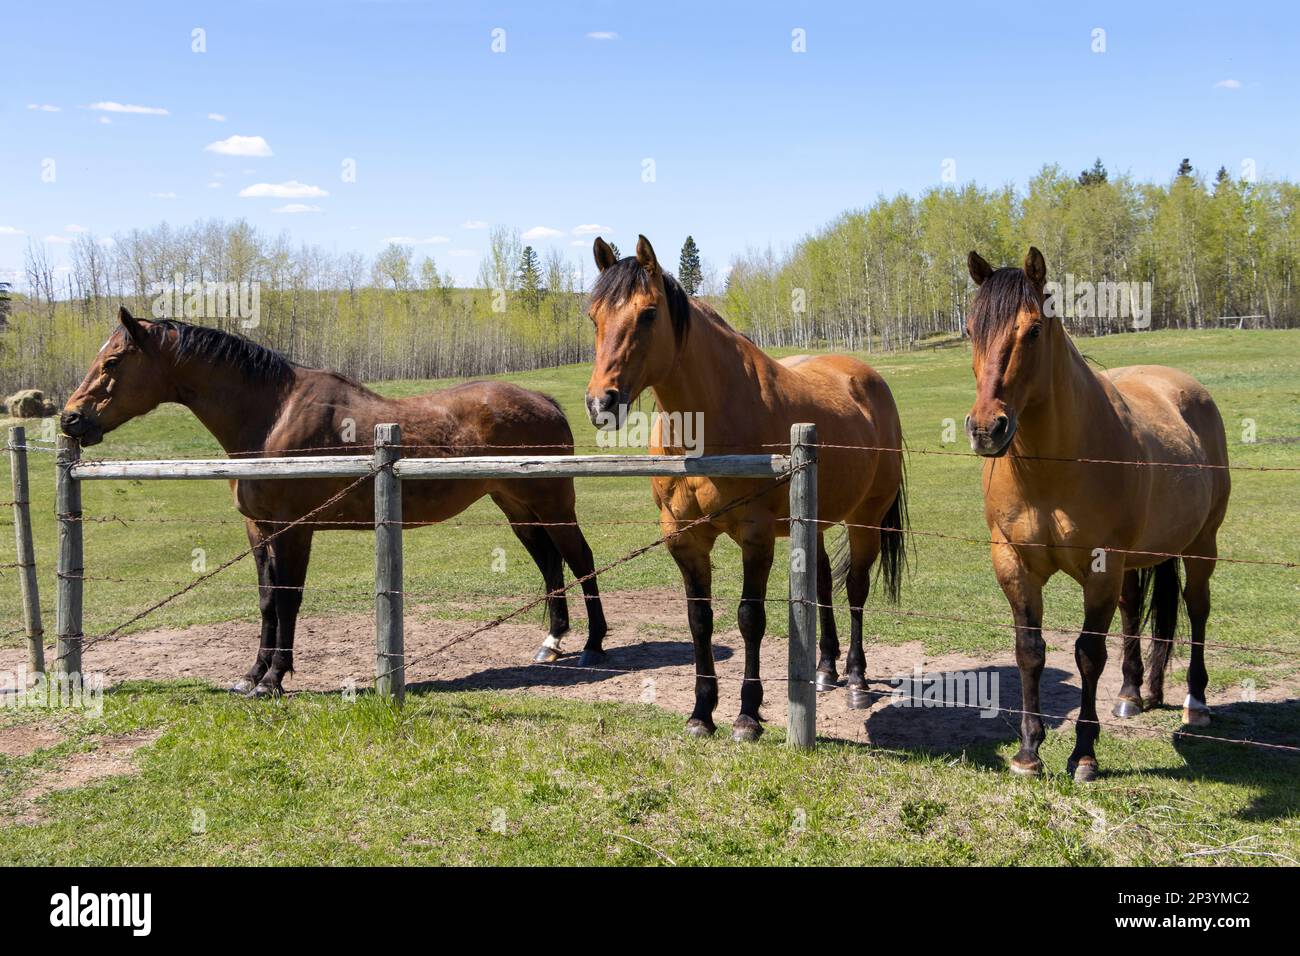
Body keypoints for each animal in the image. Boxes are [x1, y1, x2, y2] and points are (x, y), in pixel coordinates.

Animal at [61, 312, 608, 697]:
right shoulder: (259, 530)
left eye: (112, 362)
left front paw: (274, 680)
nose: (70, 419)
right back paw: (552, 643)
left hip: (551, 503)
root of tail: (543, 400)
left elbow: (288, 600)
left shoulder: (294, 530)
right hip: (516, 506)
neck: (272, 417)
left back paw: (593, 645)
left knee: (579, 558)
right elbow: (266, 600)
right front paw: (251, 675)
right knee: (550, 563)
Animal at [585, 238, 909, 738]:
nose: (601, 401)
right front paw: (701, 712)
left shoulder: (755, 537)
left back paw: (855, 679)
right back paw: (825, 670)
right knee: (822, 585)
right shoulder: (684, 538)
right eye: (593, 316)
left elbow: (749, 619)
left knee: (856, 588)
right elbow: (699, 620)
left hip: (866, 519)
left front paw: (747, 715)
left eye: (649, 313)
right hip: (813, 519)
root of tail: (867, 378)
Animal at [967, 251, 1227, 780]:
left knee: (1197, 609)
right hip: (1136, 562)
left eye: (1033, 331)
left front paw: (1083, 753)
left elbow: (1088, 654)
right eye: (969, 330)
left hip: (1200, 546)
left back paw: (1196, 703)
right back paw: (1132, 694)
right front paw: (1028, 751)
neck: (1052, 468)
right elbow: (1029, 651)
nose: (986, 430)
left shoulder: (1100, 567)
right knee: (1132, 611)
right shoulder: (1013, 564)